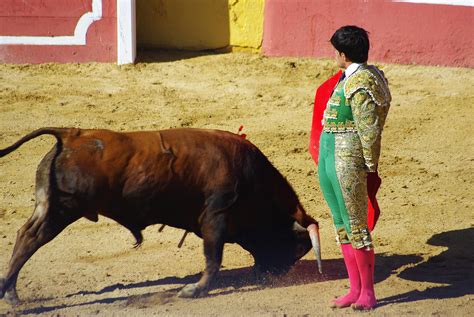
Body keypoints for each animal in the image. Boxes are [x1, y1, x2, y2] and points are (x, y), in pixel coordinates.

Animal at [0, 127, 322, 302]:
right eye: (294, 245)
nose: (275, 276)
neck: (254, 181)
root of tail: (70, 135)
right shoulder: (215, 216)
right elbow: (213, 259)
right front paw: (194, 290)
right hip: (62, 210)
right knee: (31, 238)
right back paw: (11, 293)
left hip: (47, 206)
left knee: (24, 234)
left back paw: (10, 292)